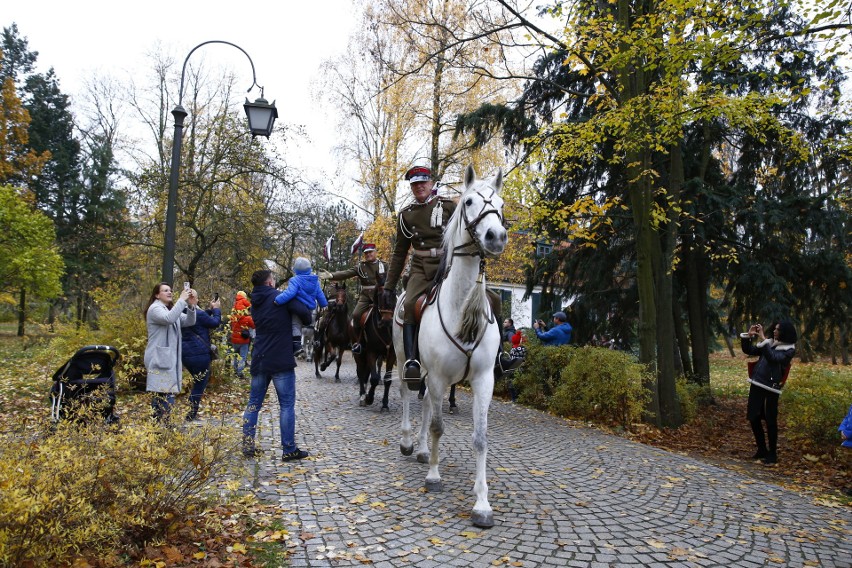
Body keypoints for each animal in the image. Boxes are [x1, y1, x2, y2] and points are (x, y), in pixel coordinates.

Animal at [392, 164, 506, 528]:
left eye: (501, 203)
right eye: (468, 201)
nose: (496, 237)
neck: (460, 305)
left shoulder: (484, 380)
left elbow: (480, 439)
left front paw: (482, 503)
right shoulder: (441, 377)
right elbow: (439, 426)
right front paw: (433, 476)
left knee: (427, 402)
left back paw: (423, 450)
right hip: (404, 359)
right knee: (407, 395)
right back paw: (409, 443)